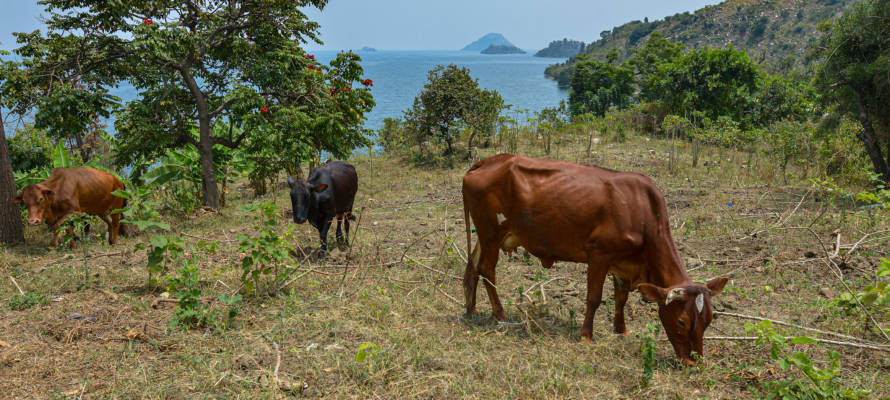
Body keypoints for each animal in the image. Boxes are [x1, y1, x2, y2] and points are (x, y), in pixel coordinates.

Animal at [461, 154, 728, 365]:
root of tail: (489, 161)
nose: (694, 363)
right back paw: (500, 314)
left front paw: (621, 330)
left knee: (472, 266)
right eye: (682, 321)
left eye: (710, 319)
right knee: (487, 269)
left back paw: (471, 309)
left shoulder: (622, 264)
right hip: (491, 233)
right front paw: (585, 336)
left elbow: (621, 298)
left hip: (486, 236)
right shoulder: (599, 254)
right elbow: (594, 298)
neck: (642, 213)